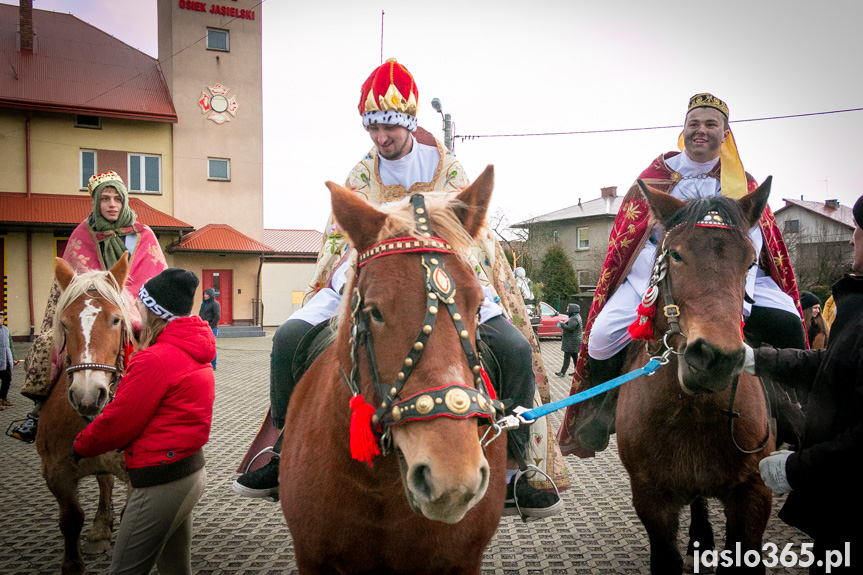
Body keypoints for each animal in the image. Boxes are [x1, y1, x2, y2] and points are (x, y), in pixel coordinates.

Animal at [35, 256, 132, 575]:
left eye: (116, 320)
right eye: (64, 323)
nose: (88, 396)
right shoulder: (55, 471)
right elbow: (71, 519)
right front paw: (73, 564)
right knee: (105, 482)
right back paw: (100, 529)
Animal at [280, 166, 510, 575]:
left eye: (479, 305)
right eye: (375, 311)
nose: (452, 478)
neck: (381, 485)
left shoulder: (465, 561)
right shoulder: (310, 556)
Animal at [616, 181, 780, 575]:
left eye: (751, 261)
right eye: (675, 255)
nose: (715, 359)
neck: (693, 413)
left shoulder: (754, 494)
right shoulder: (651, 498)